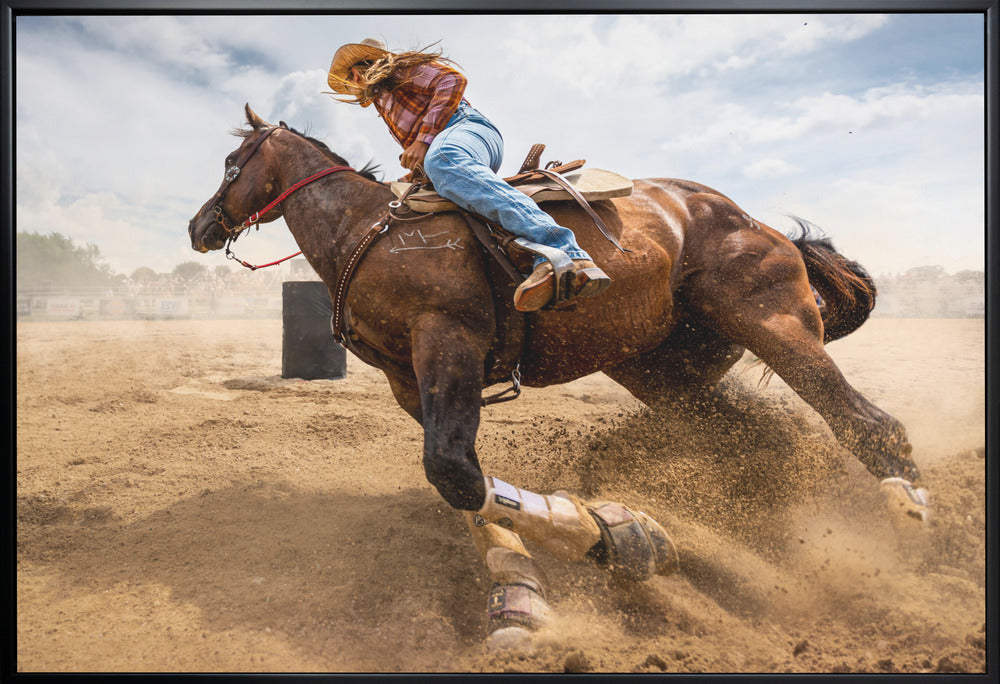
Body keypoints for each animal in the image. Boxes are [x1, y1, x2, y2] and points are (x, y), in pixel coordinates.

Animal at [188, 104, 929, 645]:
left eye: (229, 163)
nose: (198, 225)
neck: (366, 229)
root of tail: (755, 222)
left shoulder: (449, 341)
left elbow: (453, 470)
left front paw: (617, 539)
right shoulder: (409, 382)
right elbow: (464, 481)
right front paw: (527, 592)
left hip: (773, 325)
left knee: (868, 423)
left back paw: (911, 531)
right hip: (667, 375)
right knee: (763, 441)